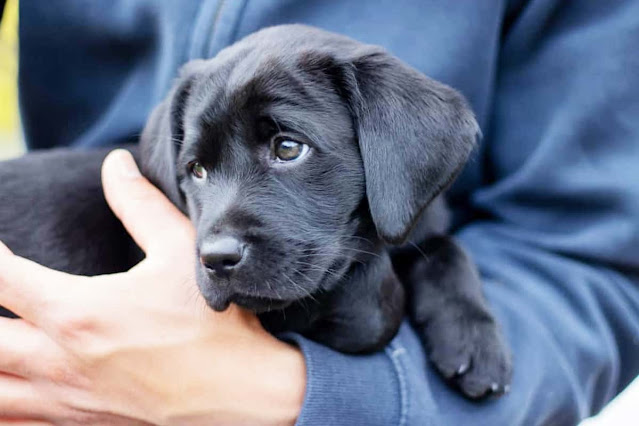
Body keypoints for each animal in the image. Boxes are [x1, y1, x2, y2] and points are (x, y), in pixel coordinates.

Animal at [0, 25, 510, 400]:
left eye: (288, 148)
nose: (216, 259)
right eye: (196, 170)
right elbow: (373, 302)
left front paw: (474, 339)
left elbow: (443, 247)